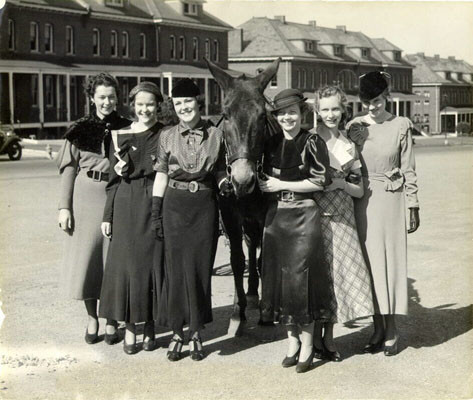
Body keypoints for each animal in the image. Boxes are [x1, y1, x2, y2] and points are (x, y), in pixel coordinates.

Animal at [204, 57, 280, 332]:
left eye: (262, 116)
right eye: (226, 115)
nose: (243, 179)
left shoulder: (266, 215)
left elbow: (263, 258)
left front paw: (265, 310)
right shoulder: (229, 215)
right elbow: (237, 260)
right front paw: (238, 312)